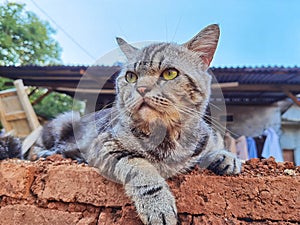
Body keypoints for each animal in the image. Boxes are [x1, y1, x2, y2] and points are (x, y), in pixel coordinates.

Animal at [2, 23, 243, 224]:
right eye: (131, 76)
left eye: (169, 73)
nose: (141, 89)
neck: (166, 136)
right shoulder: (106, 145)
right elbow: (140, 168)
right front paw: (158, 205)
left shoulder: (204, 138)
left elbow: (213, 148)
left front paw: (227, 157)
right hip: (66, 120)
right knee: (35, 148)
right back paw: (49, 154)